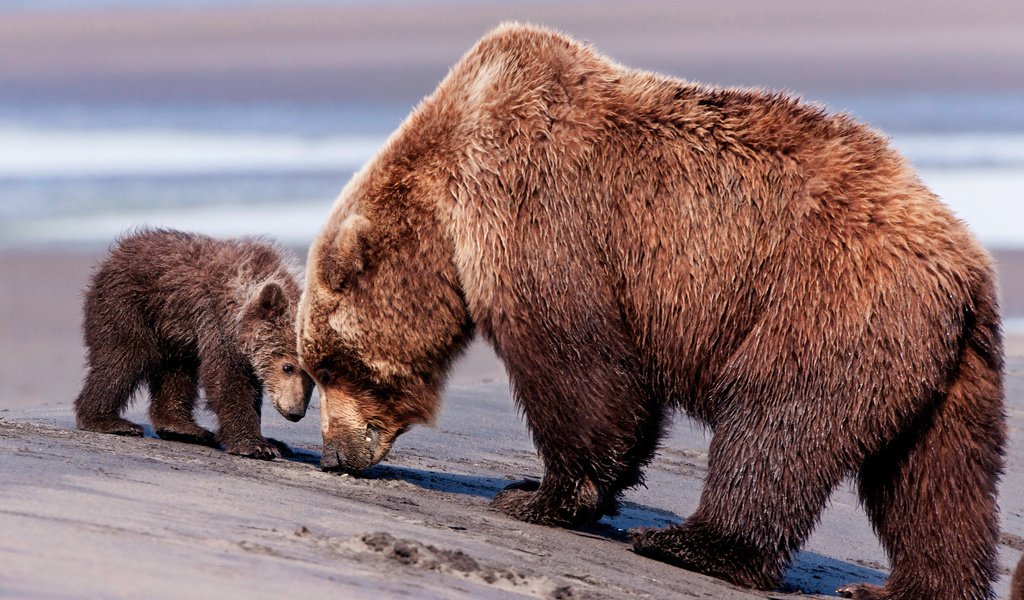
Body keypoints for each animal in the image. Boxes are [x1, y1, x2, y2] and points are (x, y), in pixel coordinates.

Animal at [299, 22, 1007, 593]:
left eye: (331, 366)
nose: (335, 454)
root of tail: (966, 264)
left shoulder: (536, 210)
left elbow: (581, 369)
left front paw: (536, 494)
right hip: (948, 368)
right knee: (937, 482)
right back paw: (901, 586)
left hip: (826, 300)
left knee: (777, 419)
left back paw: (693, 543)